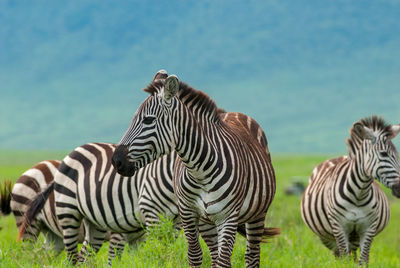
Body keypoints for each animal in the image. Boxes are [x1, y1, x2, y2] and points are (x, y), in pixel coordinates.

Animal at [109, 70, 280, 266]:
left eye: (148, 120)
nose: (116, 161)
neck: (201, 172)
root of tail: (236, 113)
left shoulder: (228, 217)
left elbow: (223, 260)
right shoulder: (187, 212)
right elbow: (195, 254)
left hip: (258, 214)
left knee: (251, 255)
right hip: (207, 223)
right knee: (214, 254)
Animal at [302, 116, 400, 264]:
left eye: (398, 155)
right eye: (383, 154)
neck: (359, 194)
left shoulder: (368, 228)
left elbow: (363, 260)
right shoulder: (339, 227)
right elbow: (344, 259)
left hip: (354, 237)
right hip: (327, 237)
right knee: (339, 254)